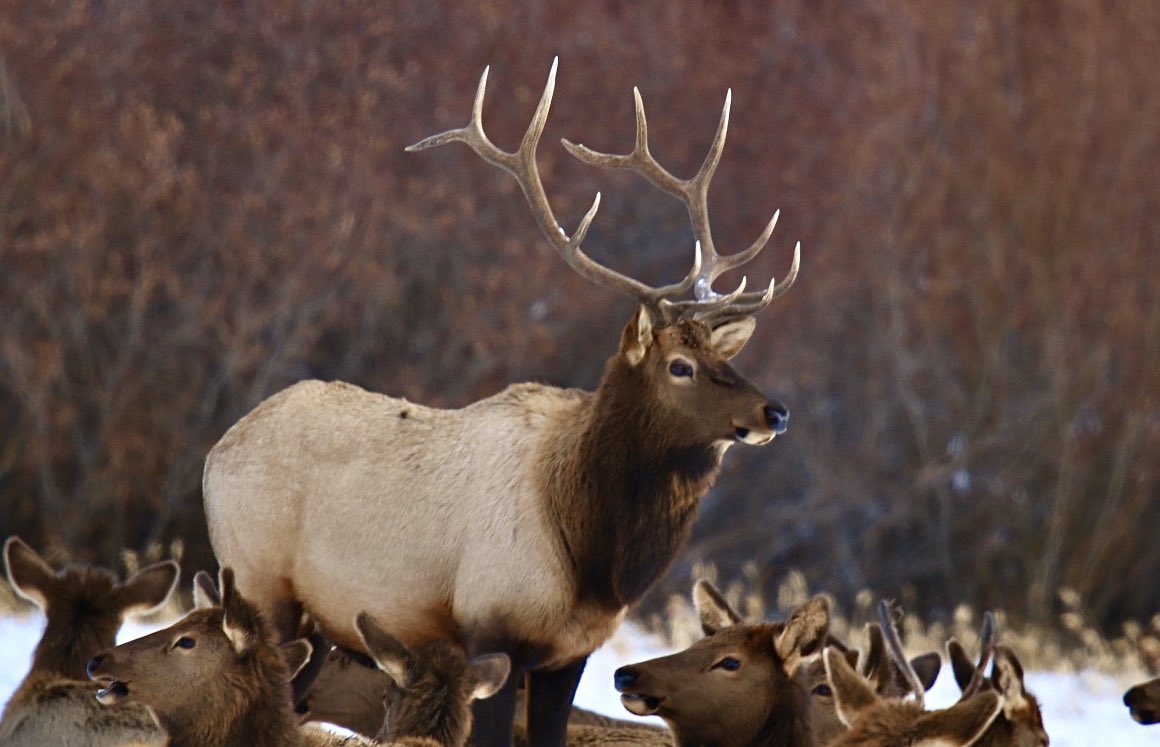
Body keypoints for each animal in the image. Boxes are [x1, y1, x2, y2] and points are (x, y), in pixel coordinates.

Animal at [202, 58, 800, 747]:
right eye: (681, 366)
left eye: (726, 358)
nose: (775, 412)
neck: (593, 559)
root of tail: (215, 453)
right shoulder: (492, 625)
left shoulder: (571, 654)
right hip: (258, 581)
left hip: (319, 622)